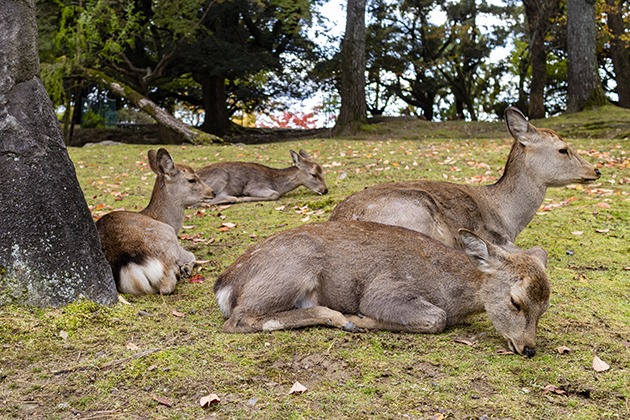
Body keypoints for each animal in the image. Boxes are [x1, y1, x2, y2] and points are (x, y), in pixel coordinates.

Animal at [95, 149, 215, 294]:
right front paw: (185, 268)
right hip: (167, 241)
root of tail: (125, 262)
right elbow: (192, 255)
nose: (212, 192)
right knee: (166, 287)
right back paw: (178, 272)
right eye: (192, 179)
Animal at [198, 149, 328, 205]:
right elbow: (275, 194)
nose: (325, 190)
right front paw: (244, 197)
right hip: (221, 178)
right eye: (313, 174)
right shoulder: (254, 186)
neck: (276, 183)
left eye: (322, 172)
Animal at [217, 220, 552, 358]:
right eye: (515, 301)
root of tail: (224, 283)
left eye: (544, 308)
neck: (449, 290)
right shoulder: (384, 289)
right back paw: (342, 319)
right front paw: (363, 319)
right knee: (240, 319)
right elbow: (436, 318)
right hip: (292, 270)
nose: (529, 348)